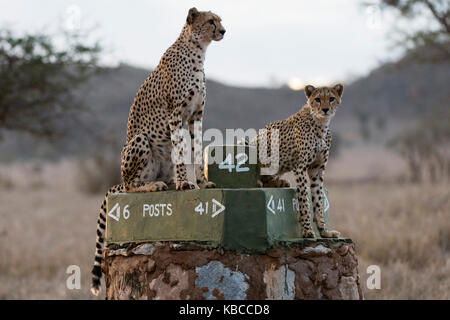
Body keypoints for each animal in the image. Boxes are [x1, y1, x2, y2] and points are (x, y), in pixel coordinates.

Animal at [90, 6, 227, 296]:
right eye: (211, 21)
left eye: (220, 20)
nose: (224, 31)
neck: (197, 51)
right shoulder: (175, 114)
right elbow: (181, 151)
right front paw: (186, 184)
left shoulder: (196, 116)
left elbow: (196, 150)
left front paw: (200, 182)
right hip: (140, 141)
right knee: (131, 186)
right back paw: (154, 185)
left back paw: (169, 182)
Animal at [250, 84, 344, 239]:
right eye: (317, 99)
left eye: (331, 98)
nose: (325, 109)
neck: (320, 124)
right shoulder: (300, 167)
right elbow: (304, 200)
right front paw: (307, 230)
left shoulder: (317, 169)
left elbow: (318, 199)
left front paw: (324, 231)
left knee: (266, 180)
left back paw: (280, 182)